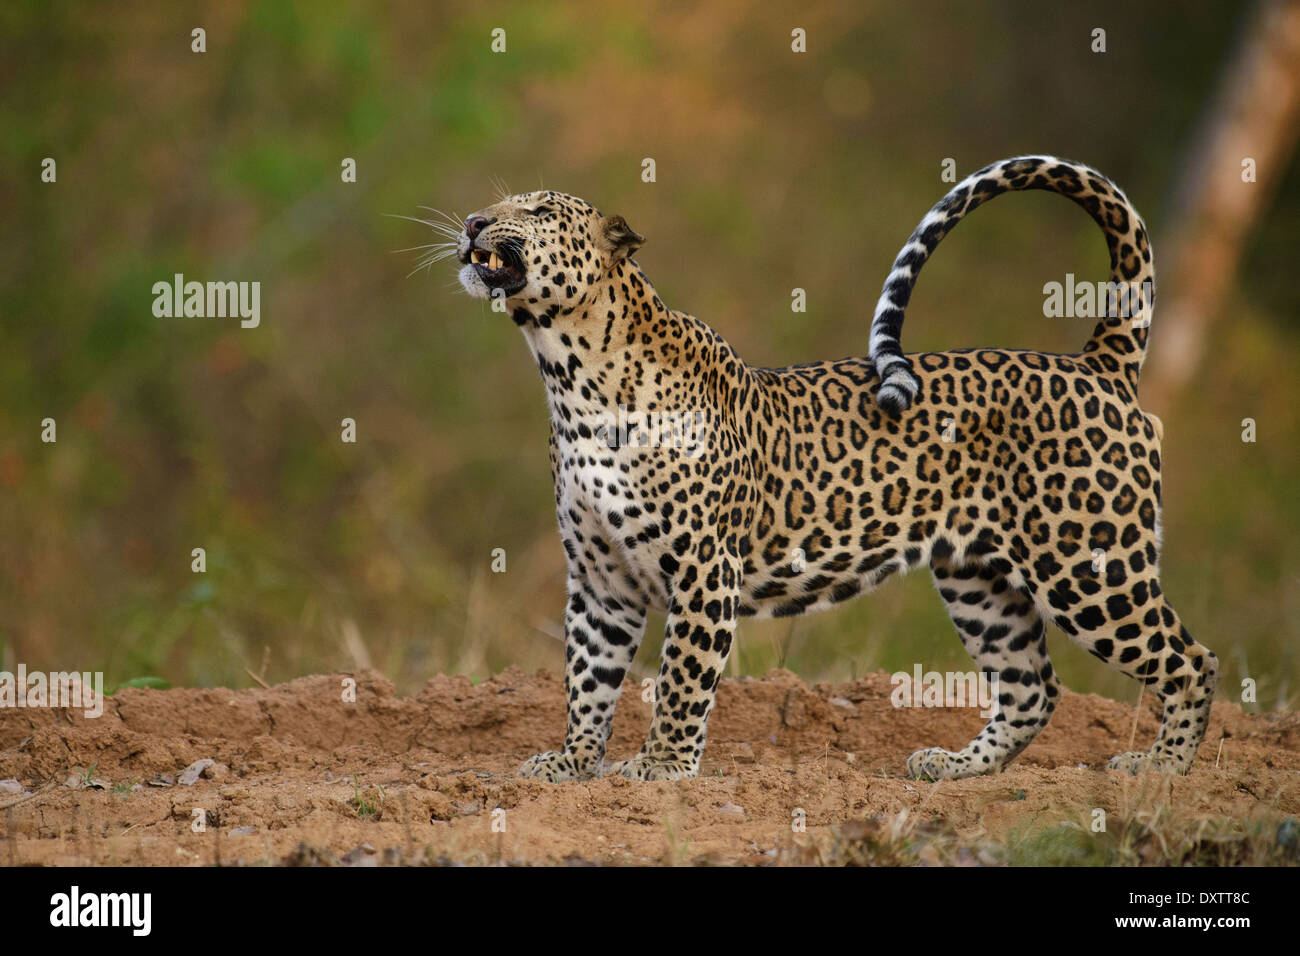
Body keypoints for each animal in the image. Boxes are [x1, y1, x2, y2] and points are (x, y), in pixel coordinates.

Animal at [447, 157, 1216, 780]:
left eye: (537, 211)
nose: (474, 220)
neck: (568, 375)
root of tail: (1096, 365)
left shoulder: (702, 568)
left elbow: (681, 679)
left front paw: (661, 767)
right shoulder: (602, 578)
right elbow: (589, 677)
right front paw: (573, 763)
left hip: (1089, 566)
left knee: (1190, 658)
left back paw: (1162, 766)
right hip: (978, 578)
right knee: (1033, 687)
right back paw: (955, 765)